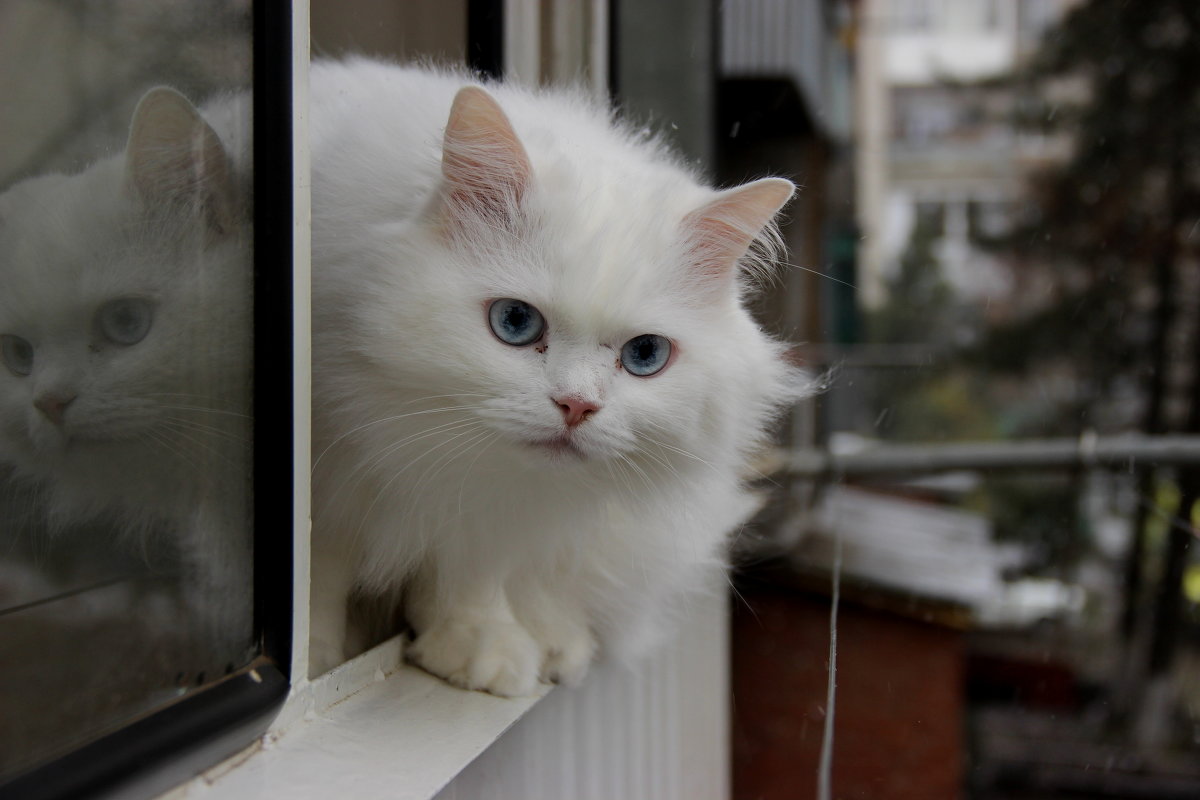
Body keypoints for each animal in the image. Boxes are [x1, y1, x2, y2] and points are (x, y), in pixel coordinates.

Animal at [309, 59, 806, 695]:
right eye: (515, 322)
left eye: (645, 355)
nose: (576, 406)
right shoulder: (329, 475)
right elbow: (318, 576)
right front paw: (317, 663)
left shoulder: (492, 510)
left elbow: (473, 575)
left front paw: (480, 646)